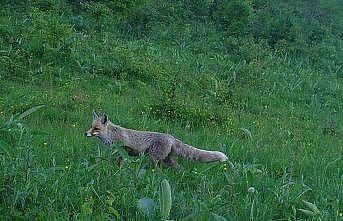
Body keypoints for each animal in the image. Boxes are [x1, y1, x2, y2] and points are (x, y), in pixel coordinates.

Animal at [84, 111, 228, 168]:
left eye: (95, 128)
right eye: (90, 126)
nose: (85, 133)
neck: (112, 135)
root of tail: (171, 137)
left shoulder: (124, 149)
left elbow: (121, 162)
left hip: (154, 158)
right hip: (167, 160)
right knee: (178, 168)